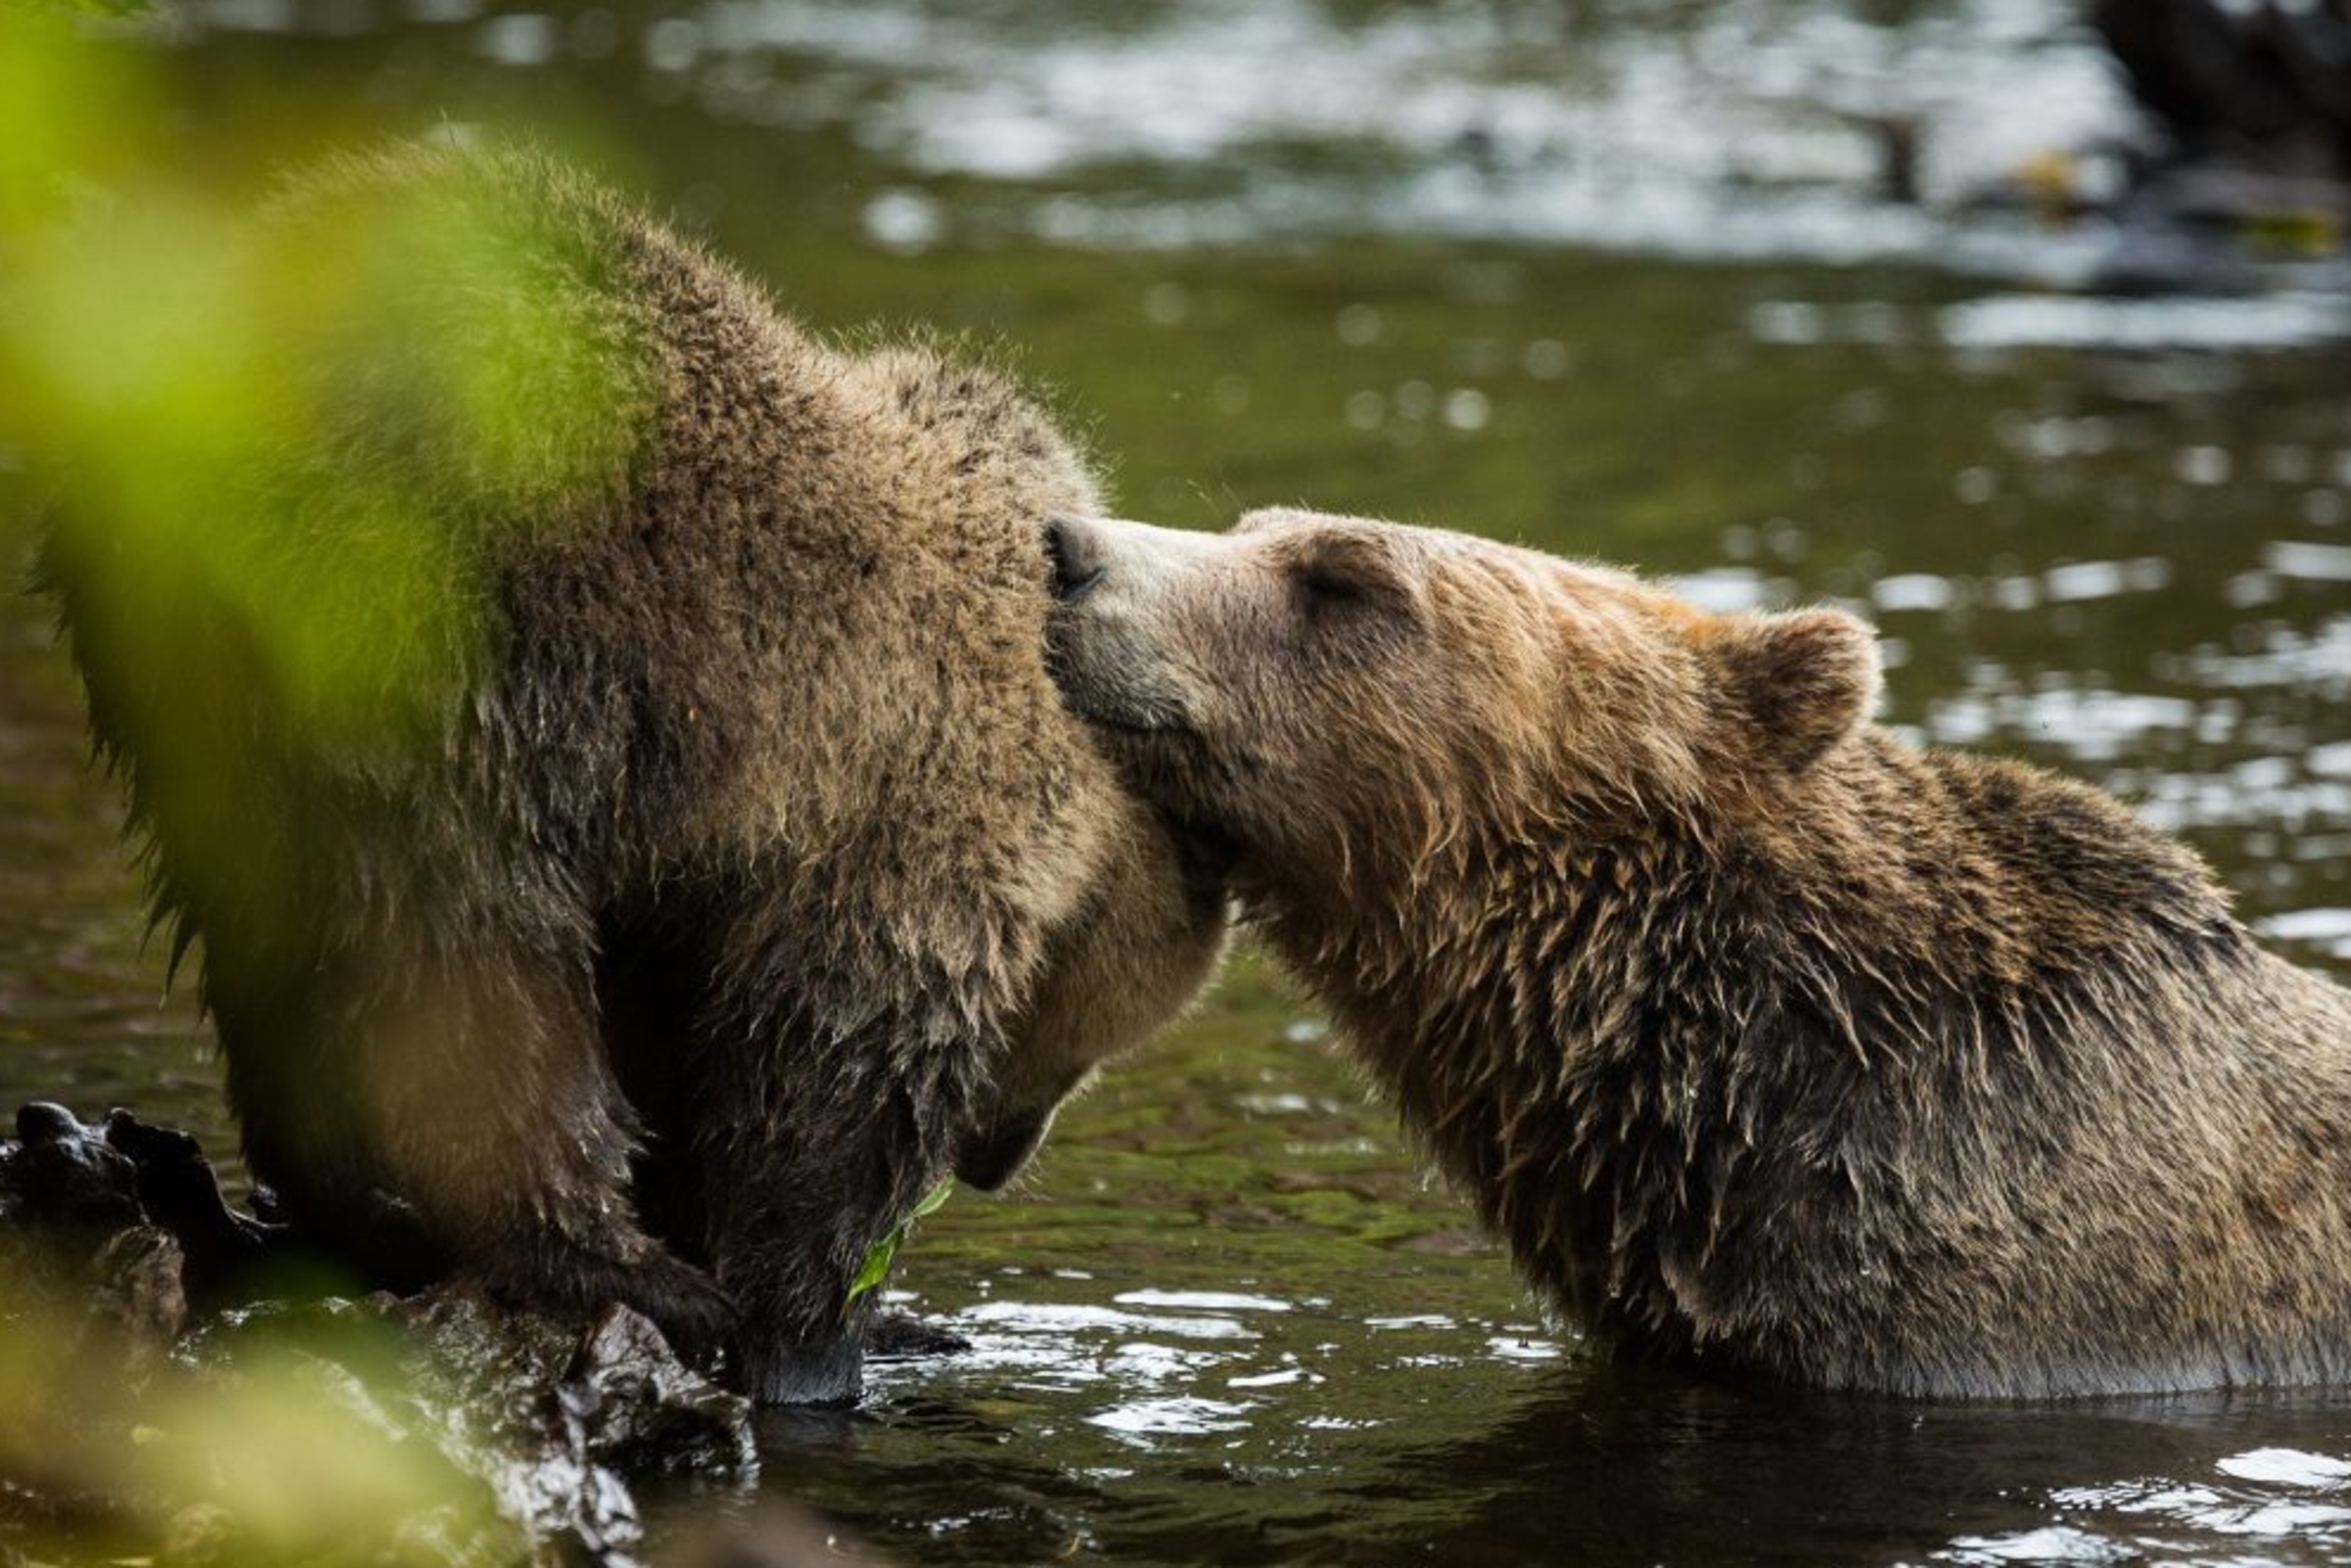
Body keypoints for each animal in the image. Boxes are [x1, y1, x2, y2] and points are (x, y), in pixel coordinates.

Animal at [34, 143, 1226, 1405]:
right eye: (1090, 1043)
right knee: (458, 956)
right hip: (431, 633)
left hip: (196, 680)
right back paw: (608, 1265)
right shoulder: (908, 794)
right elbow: (829, 1068)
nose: (1002, 1158)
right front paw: (812, 1328)